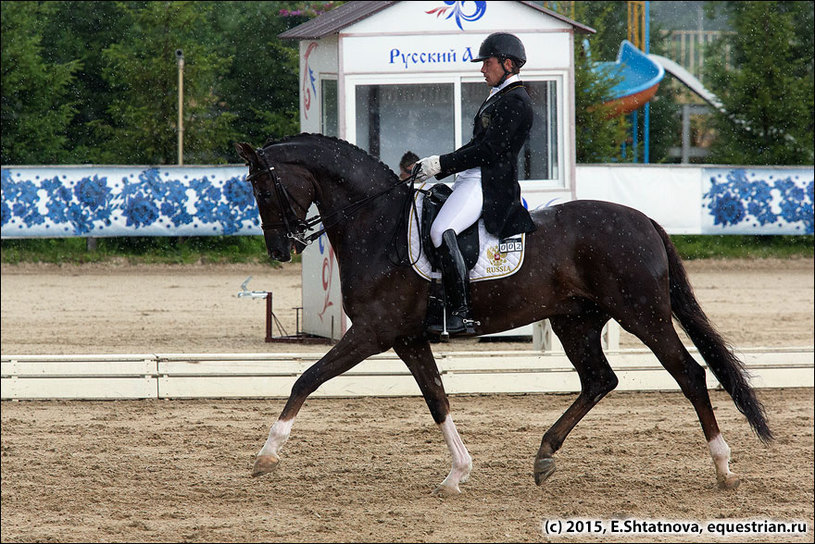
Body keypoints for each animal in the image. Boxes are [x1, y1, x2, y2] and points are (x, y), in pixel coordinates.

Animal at [234, 134, 772, 496]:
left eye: (263, 190)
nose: (280, 250)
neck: (377, 225)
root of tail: (645, 221)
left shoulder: (372, 332)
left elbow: (307, 378)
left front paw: (266, 456)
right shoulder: (407, 338)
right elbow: (437, 398)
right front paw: (458, 473)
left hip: (644, 315)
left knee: (690, 374)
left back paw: (724, 468)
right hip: (576, 321)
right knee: (600, 379)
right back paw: (544, 455)